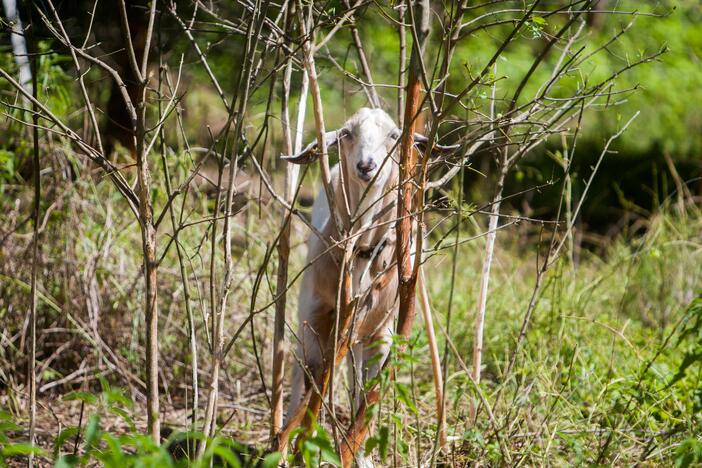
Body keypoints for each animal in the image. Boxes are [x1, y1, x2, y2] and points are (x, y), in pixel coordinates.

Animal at [284, 107, 456, 464]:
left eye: (393, 135)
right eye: (347, 134)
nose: (366, 165)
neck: (362, 250)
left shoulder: (381, 333)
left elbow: (369, 392)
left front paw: (358, 456)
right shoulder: (315, 317)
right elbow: (312, 382)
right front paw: (299, 449)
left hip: (362, 332)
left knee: (355, 378)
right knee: (300, 372)